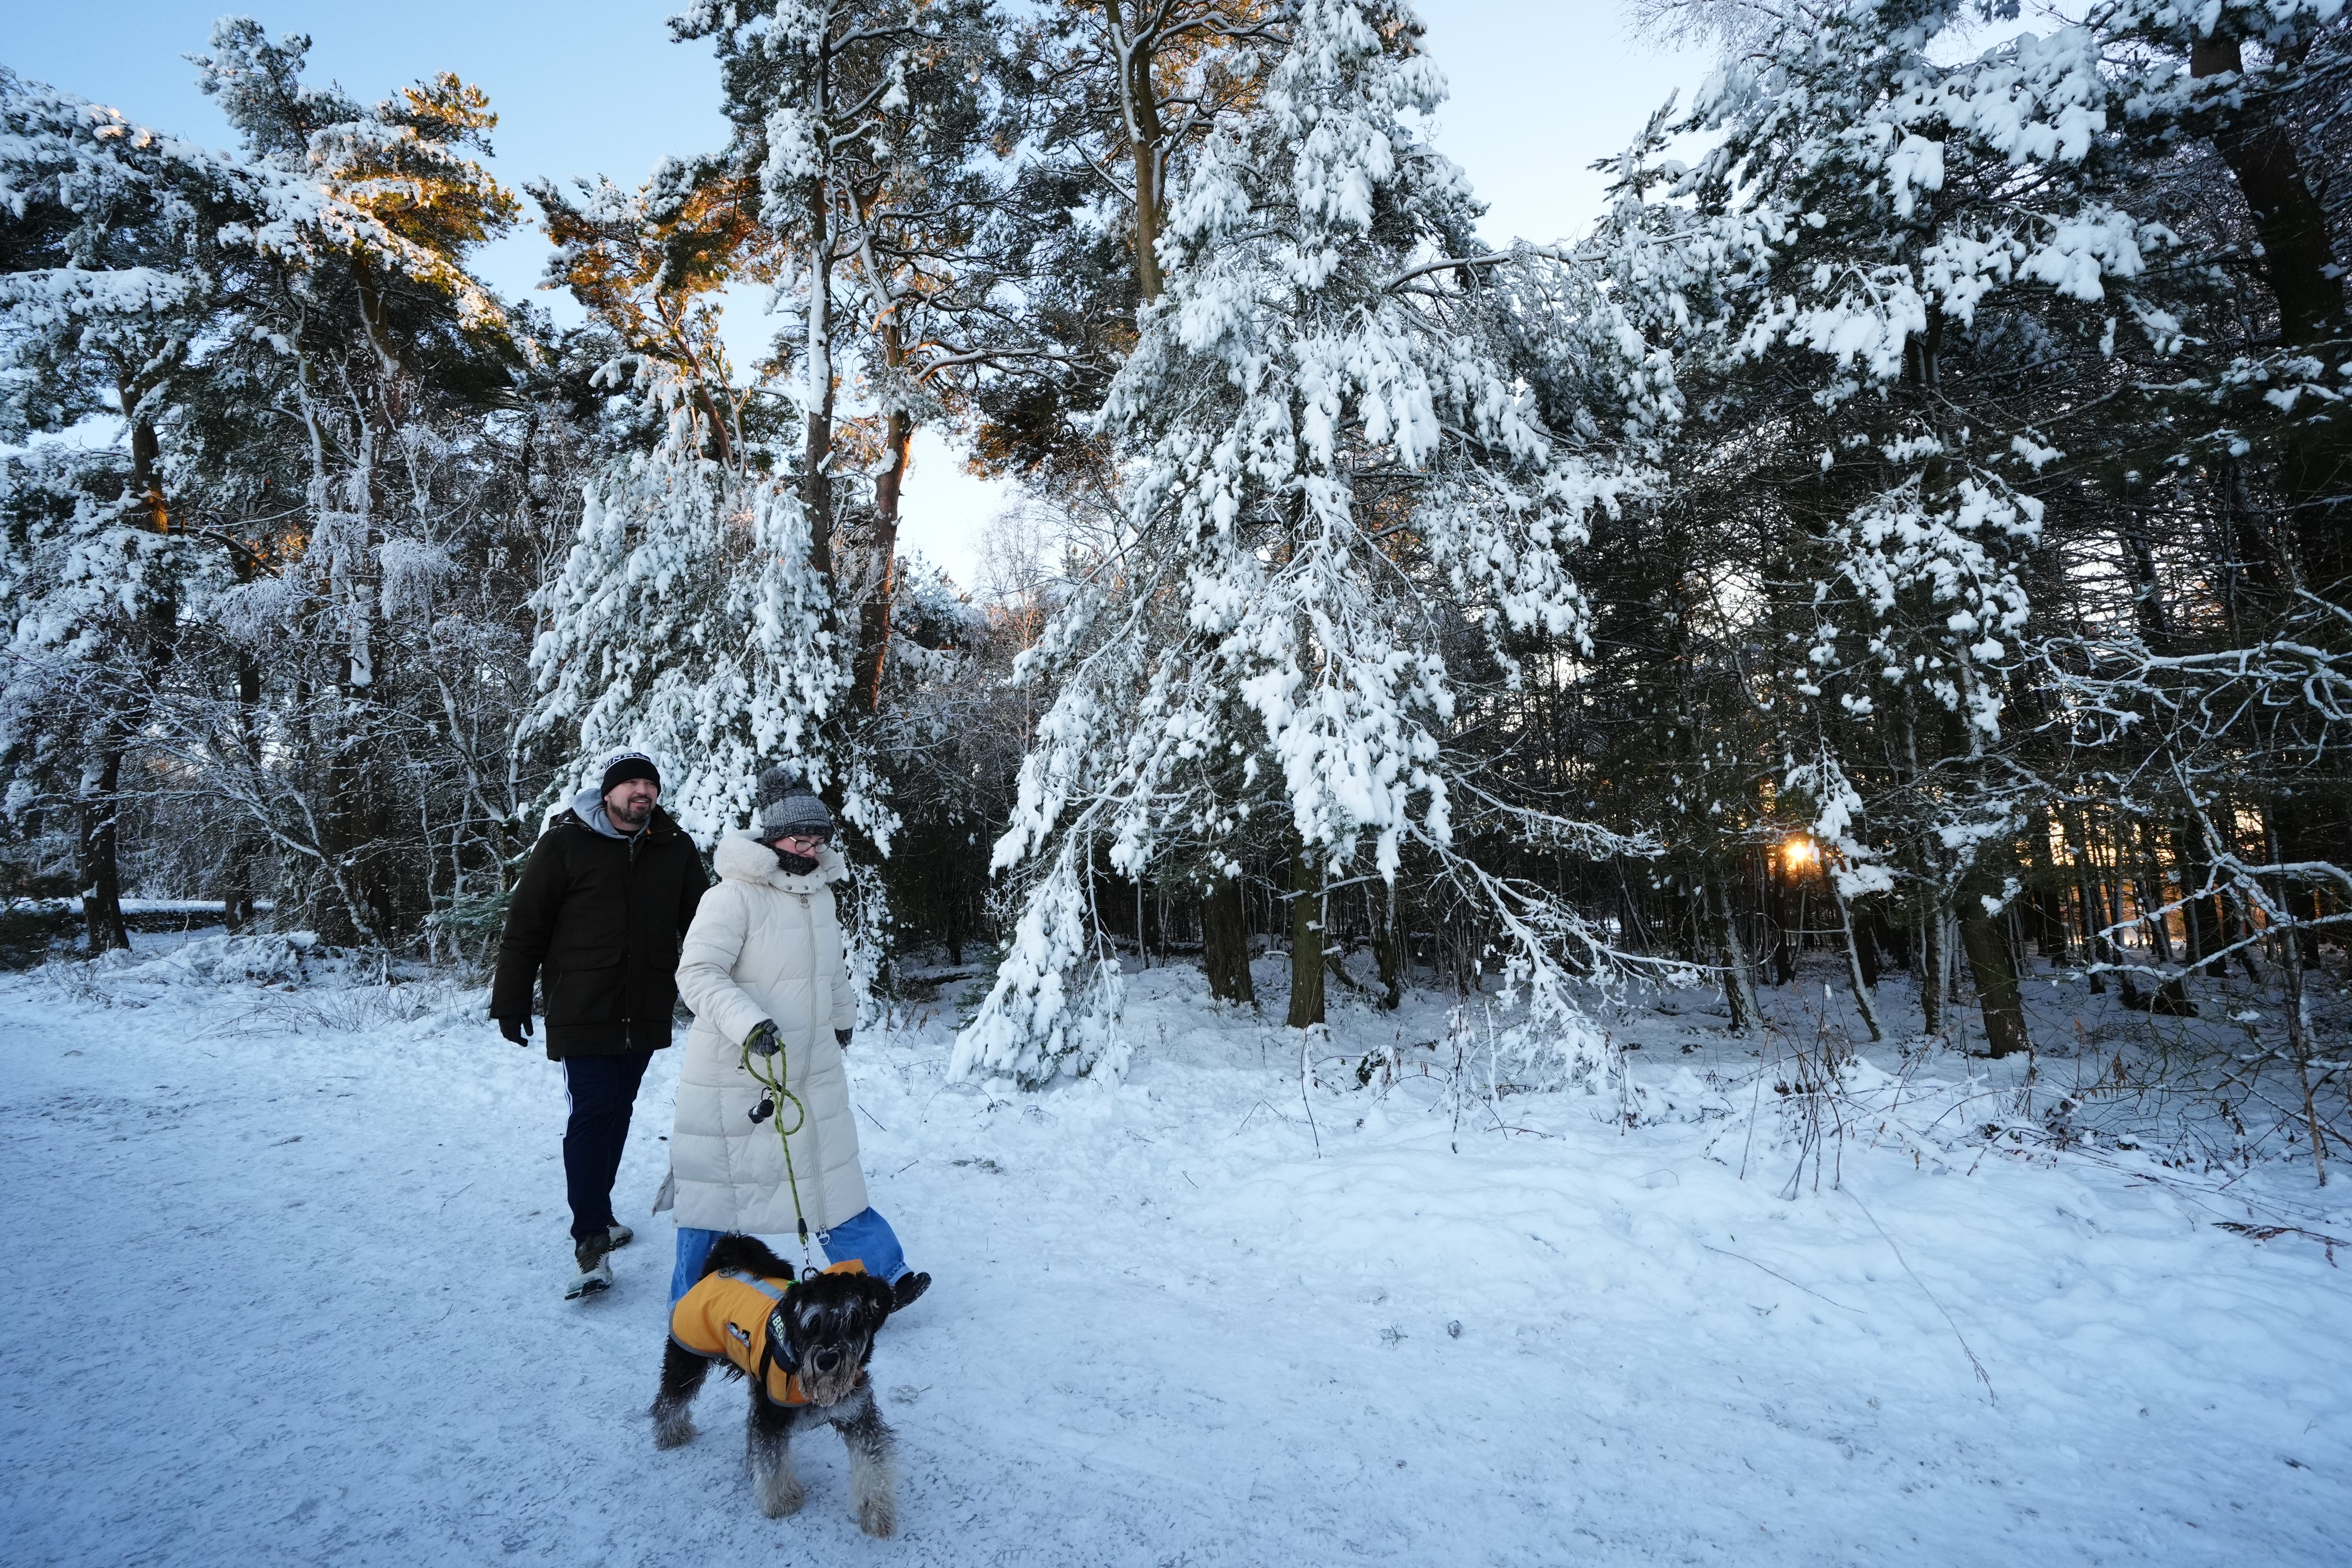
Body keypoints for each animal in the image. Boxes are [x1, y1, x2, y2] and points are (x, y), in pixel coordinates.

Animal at [649, 1232, 903, 1542]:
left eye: (853, 1320)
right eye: (811, 1323)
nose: (827, 1360)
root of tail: (717, 1269)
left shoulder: (857, 1415)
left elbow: (872, 1463)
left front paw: (876, 1511)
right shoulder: (771, 1415)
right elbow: (772, 1459)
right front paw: (780, 1501)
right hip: (688, 1359)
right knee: (671, 1398)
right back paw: (671, 1433)